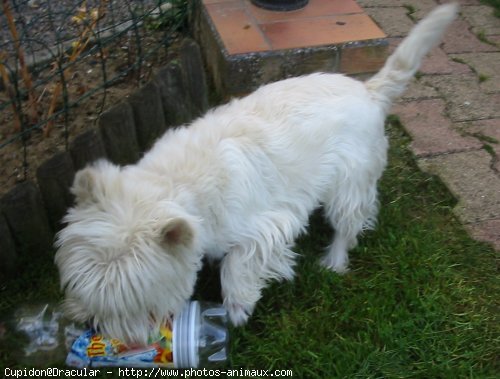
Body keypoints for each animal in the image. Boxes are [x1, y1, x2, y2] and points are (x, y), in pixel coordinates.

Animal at [54, 4, 458, 346]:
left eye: (129, 301)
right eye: (77, 284)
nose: (89, 324)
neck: (177, 183)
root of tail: (368, 90)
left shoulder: (265, 222)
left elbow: (239, 262)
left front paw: (237, 307)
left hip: (349, 181)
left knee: (349, 222)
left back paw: (334, 260)